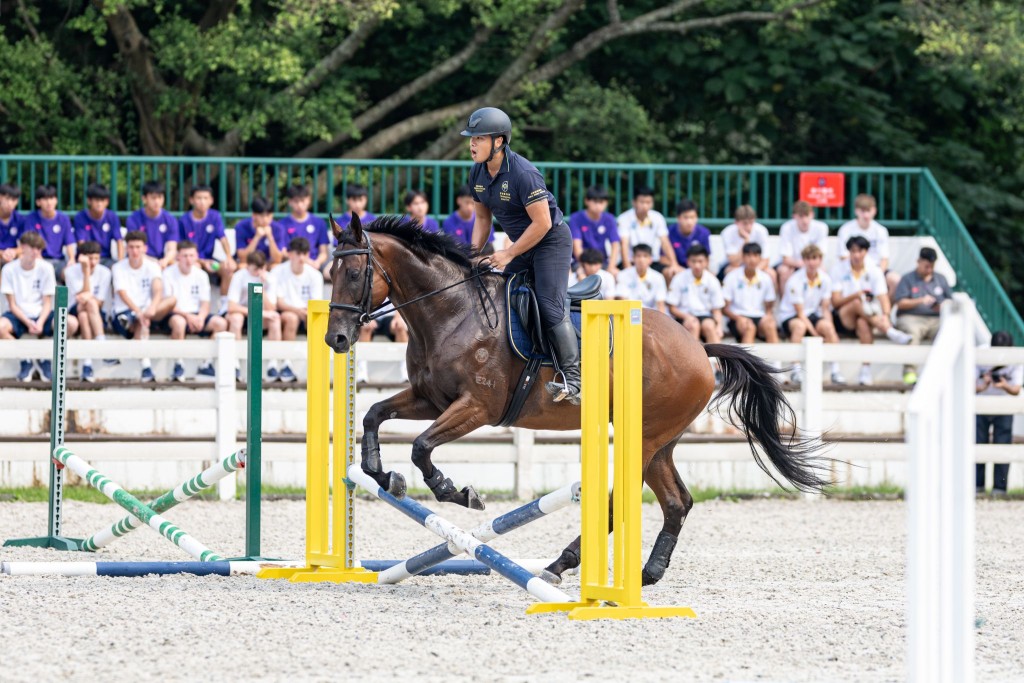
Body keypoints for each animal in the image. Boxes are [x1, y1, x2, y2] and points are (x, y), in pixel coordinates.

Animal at [327, 215, 831, 589]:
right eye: (330, 274)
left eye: (352, 274)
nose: (337, 339)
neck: (452, 311)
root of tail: (697, 346)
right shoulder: (430, 399)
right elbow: (373, 416)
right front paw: (383, 475)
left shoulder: (476, 408)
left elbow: (421, 447)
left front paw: (457, 491)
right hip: (659, 443)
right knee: (677, 501)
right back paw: (647, 573)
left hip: (643, 438)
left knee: (618, 499)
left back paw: (561, 564)